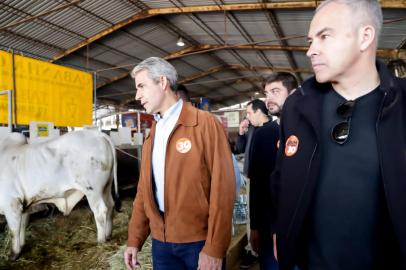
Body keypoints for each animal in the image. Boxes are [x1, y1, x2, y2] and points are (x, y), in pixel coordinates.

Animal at [0, 130, 119, 260]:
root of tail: (98, 134)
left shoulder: (12, 203)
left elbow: (14, 230)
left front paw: (13, 254)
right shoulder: (24, 206)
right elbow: (22, 226)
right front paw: (21, 247)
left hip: (93, 191)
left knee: (100, 211)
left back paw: (100, 241)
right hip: (106, 187)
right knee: (110, 206)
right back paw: (108, 235)